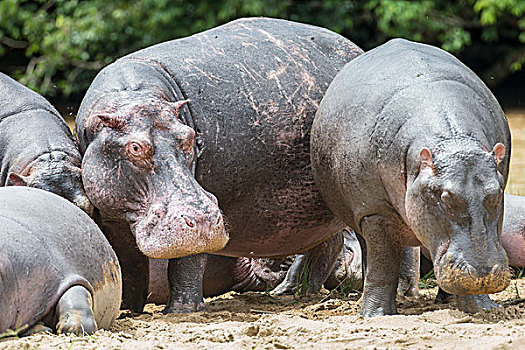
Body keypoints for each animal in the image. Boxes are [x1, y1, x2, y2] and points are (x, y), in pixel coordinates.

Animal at [73, 17, 362, 312]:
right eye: (135, 147)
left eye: (189, 136)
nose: (203, 218)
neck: (132, 97)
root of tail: (354, 49)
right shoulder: (112, 216)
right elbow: (127, 263)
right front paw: (128, 309)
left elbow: (188, 260)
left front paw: (181, 311)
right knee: (328, 241)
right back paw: (291, 291)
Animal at [312, 39, 512, 318]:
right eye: (445, 197)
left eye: (496, 193)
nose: (483, 275)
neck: (453, 141)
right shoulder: (374, 212)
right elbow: (382, 265)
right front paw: (377, 316)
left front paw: (482, 308)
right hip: (361, 216)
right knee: (371, 256)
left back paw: (447, 302)